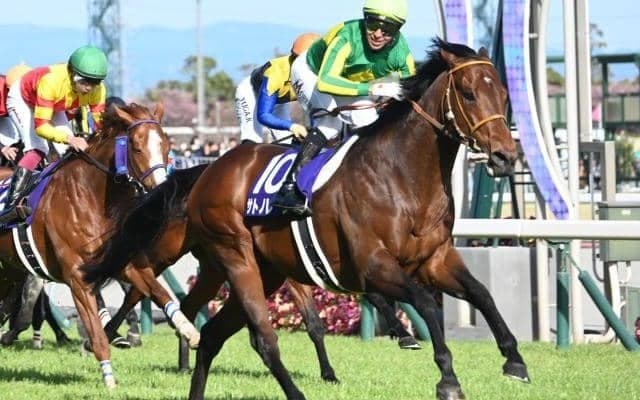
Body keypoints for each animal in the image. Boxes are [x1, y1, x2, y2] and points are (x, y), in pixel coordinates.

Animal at [0, 102, 200, 388]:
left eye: (166, 145)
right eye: (136, 147)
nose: (163, 188)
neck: (89, 196)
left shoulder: (122, 262)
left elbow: (159, 292)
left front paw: (189, 330)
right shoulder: (77, 278)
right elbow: (95, 333)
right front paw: (109, 380)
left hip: (9, 267)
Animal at [82, 39, 528, 400]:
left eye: (504, 94)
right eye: (468, 94)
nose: (506, 156)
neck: (401, 176)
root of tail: (209, 169)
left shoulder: (435, 259)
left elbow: (482, 294)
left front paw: (514, 361)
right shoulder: (374, 266)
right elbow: (423, 304)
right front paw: (447, 378)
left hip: (257, 270)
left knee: (209, 334)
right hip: (233, 257)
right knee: (256, 336)